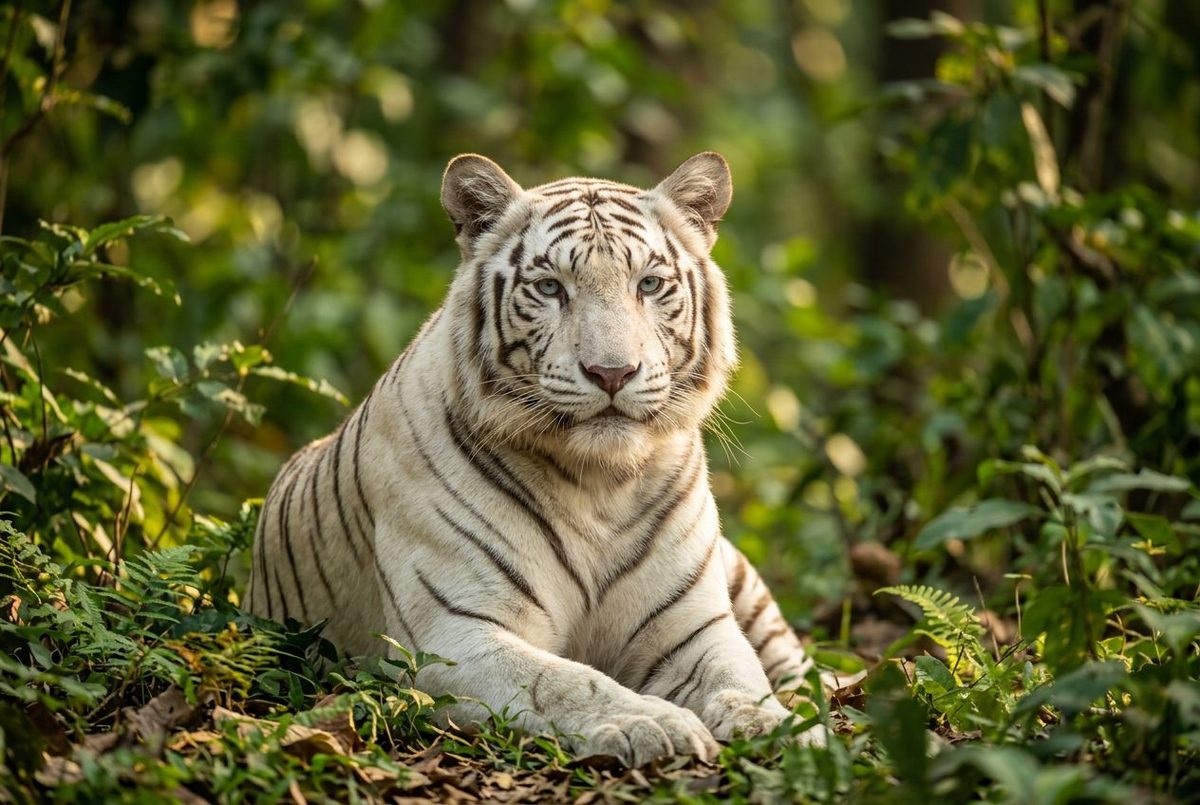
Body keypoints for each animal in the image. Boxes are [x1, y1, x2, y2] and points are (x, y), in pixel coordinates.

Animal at [244, 152, 825, 766]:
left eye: (648, 283)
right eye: (550, 287)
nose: (612, 372)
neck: (601, 484)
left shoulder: (693, 627)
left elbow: (739, 678)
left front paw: (782, 727)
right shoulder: (454, 635)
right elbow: (568, 681)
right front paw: (651, 722)